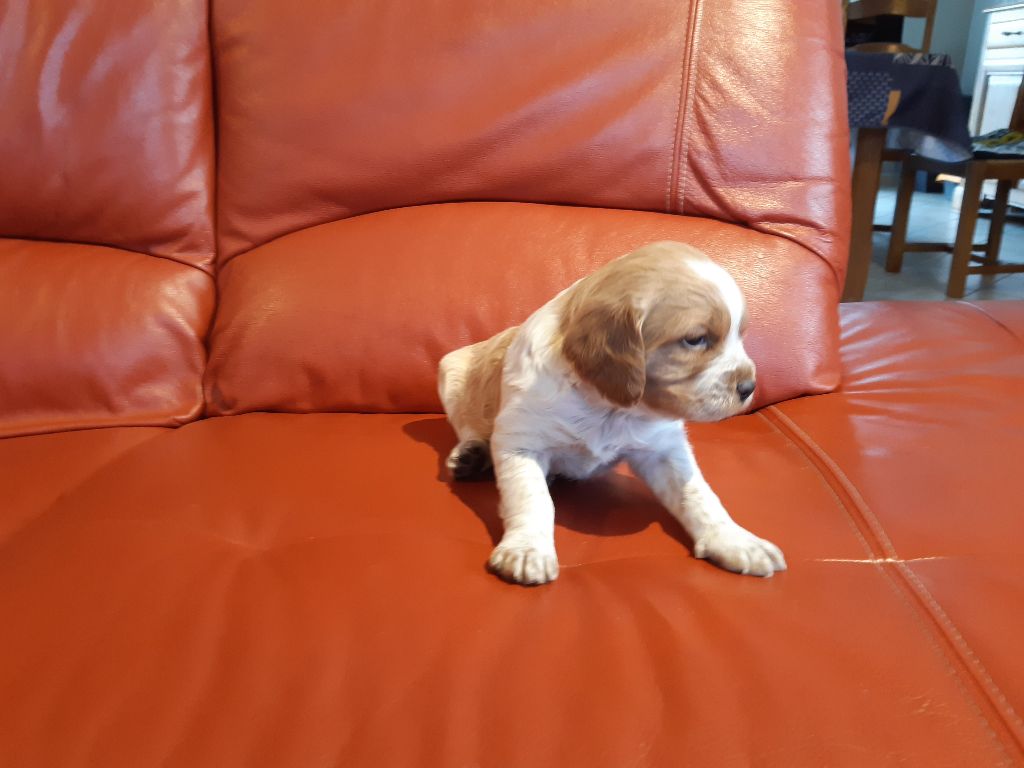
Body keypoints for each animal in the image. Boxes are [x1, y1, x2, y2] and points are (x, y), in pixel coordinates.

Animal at [438, 241, 786, 585]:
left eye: (740, 335)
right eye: (695, 339)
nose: (749, 387)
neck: (609, 408)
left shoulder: (663, 449)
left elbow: (699, 495)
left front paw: (736, 541)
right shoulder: (520, 440)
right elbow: (532, 498)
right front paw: (527, 550)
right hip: (451, 372)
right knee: (468, 425)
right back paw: (470, 454)